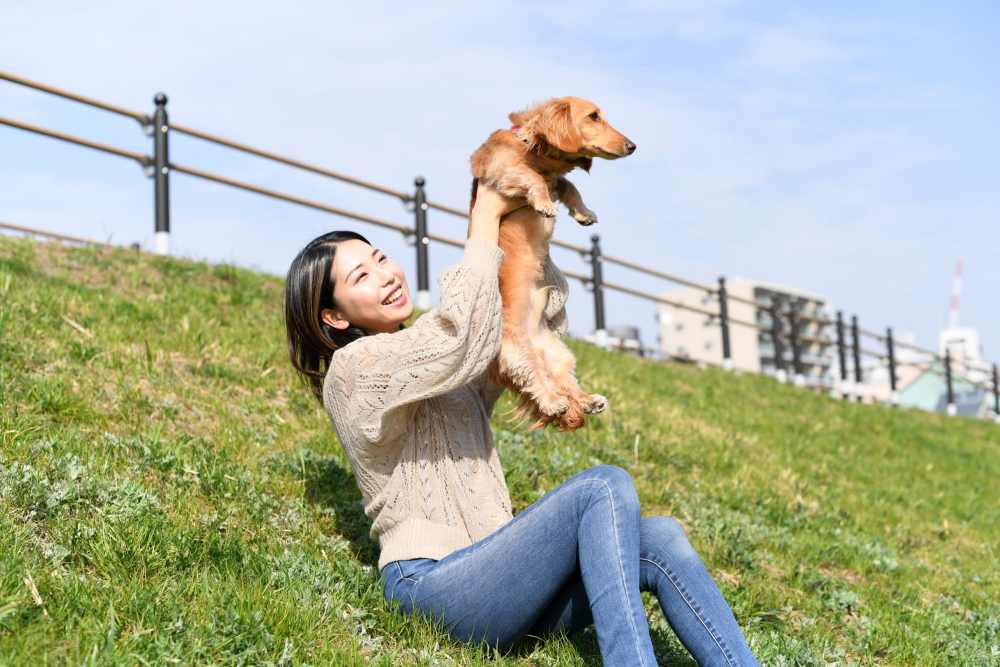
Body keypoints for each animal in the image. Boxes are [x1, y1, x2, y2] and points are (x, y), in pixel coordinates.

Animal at [466, 95, 632, 434]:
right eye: (594, 116)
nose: (632, 146)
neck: (533, 149)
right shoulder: (501, 168)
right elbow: (530, 177)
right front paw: (543, 203)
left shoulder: (557, 180)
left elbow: (568, 185)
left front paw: (584, 213)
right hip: (516, 353)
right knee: (535, 381)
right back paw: (553, 403)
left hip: (559, 354)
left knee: (564, 384)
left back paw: (587, 401)